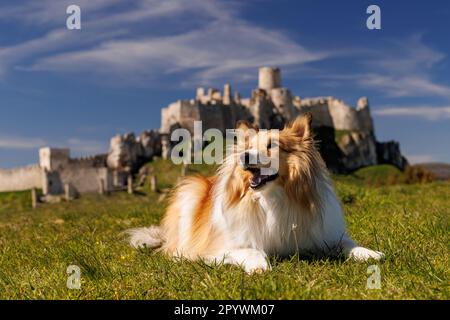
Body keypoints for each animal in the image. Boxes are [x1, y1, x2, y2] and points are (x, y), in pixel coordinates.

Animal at [128, 113, 384, 272]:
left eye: (273, 145)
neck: (272, 199)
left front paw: (371, 253)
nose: (245, 157)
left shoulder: (323, 234)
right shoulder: (223, 246)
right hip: (189, 194)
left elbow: (349, 245)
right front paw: (260, 267)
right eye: (249, 147)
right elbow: (252, 251)